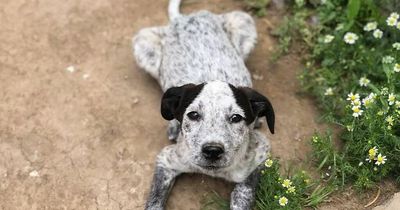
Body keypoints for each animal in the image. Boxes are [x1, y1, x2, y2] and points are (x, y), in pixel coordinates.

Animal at [133, 0, 274, 209]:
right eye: (193, 115)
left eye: (236, 118)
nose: (213, 151)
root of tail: (184, 18)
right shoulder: (166, 160)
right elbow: (155, 200)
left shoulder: (260, 154)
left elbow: (244, 191)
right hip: (143, 43)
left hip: (243, 21)